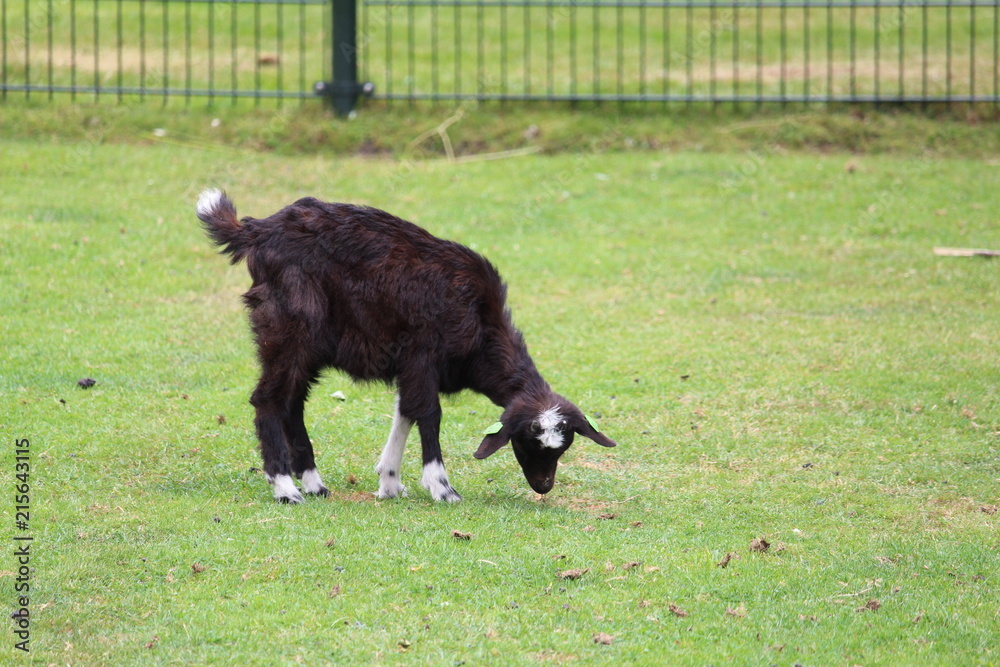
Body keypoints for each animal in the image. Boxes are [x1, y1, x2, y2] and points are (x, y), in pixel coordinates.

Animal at [196, 189, 616, 503]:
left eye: (563, 446)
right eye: (528, 443)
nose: (543, 486)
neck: (480, 322)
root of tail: (257, 230)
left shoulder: (411, 366)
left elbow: (405, 412)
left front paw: (390, 483)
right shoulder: (421, 354)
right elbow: (428, 414)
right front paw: (441, 487)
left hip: (307, 346)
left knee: (292, 402)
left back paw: (313, 482)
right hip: (289, 329)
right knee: (268, 399)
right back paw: (285, 488)